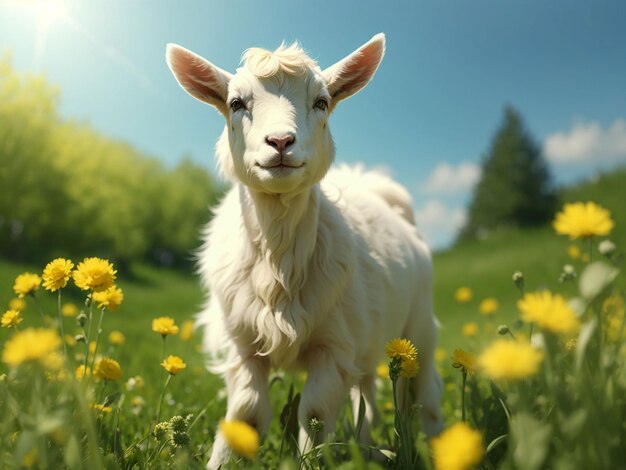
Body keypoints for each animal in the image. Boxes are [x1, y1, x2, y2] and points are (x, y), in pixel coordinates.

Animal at [165, 34, 438, 466]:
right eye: (236, 103)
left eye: (321, 102)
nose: (280, 142)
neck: (277, 266)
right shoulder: (243, 345)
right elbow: (246, 413)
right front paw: (222, 461)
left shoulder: (332, 346)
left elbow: (315, 415)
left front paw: (313, 459)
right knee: (367, 395)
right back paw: (367, 447)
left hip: (420, 327)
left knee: (423, 394)